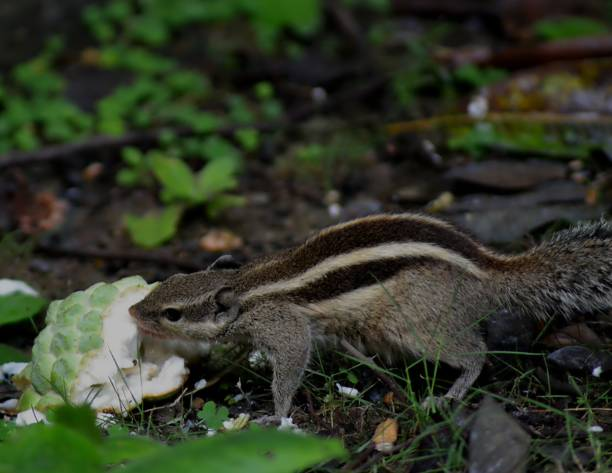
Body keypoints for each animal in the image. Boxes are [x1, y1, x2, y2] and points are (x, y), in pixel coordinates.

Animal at [126, 214, 612, 416]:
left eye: (171, 314)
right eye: (167, 281)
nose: (132, 311)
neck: (248, 286)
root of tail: (493, 270)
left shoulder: (284, 327)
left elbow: (291, 365)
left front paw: (275, 413)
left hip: (419, 325)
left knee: (476, 354)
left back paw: (448, 395)